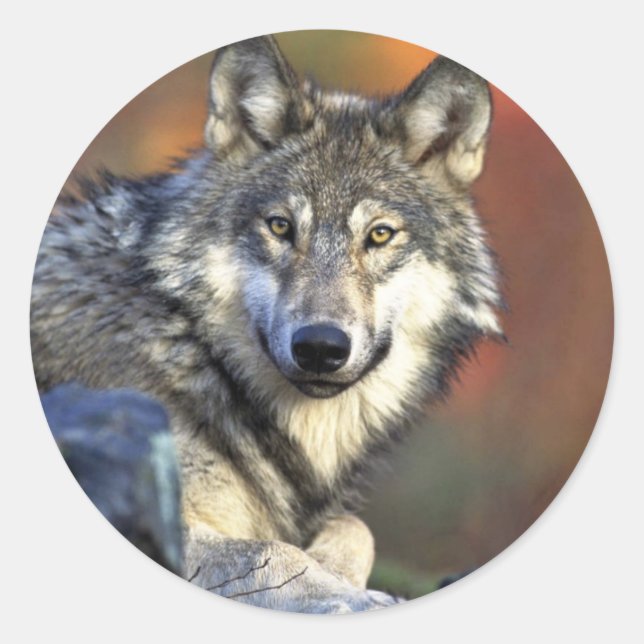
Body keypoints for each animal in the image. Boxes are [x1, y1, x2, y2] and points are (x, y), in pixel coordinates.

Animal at [31, 35, 502, 612]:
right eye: (280, 227)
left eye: (380, 235)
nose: (320, 347)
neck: (192, 350)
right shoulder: (162, 513)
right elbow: (273, 552)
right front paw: (350, 597)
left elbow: (355, 528)